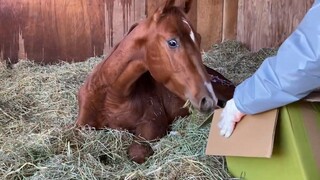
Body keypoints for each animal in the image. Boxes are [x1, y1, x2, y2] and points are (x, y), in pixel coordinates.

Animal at [76, 0, 234, 164]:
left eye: (199, 38)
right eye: (172, 42)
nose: (208, 99)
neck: (112, 96)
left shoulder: (154, 123)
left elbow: (137, 152)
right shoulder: (80, 126)